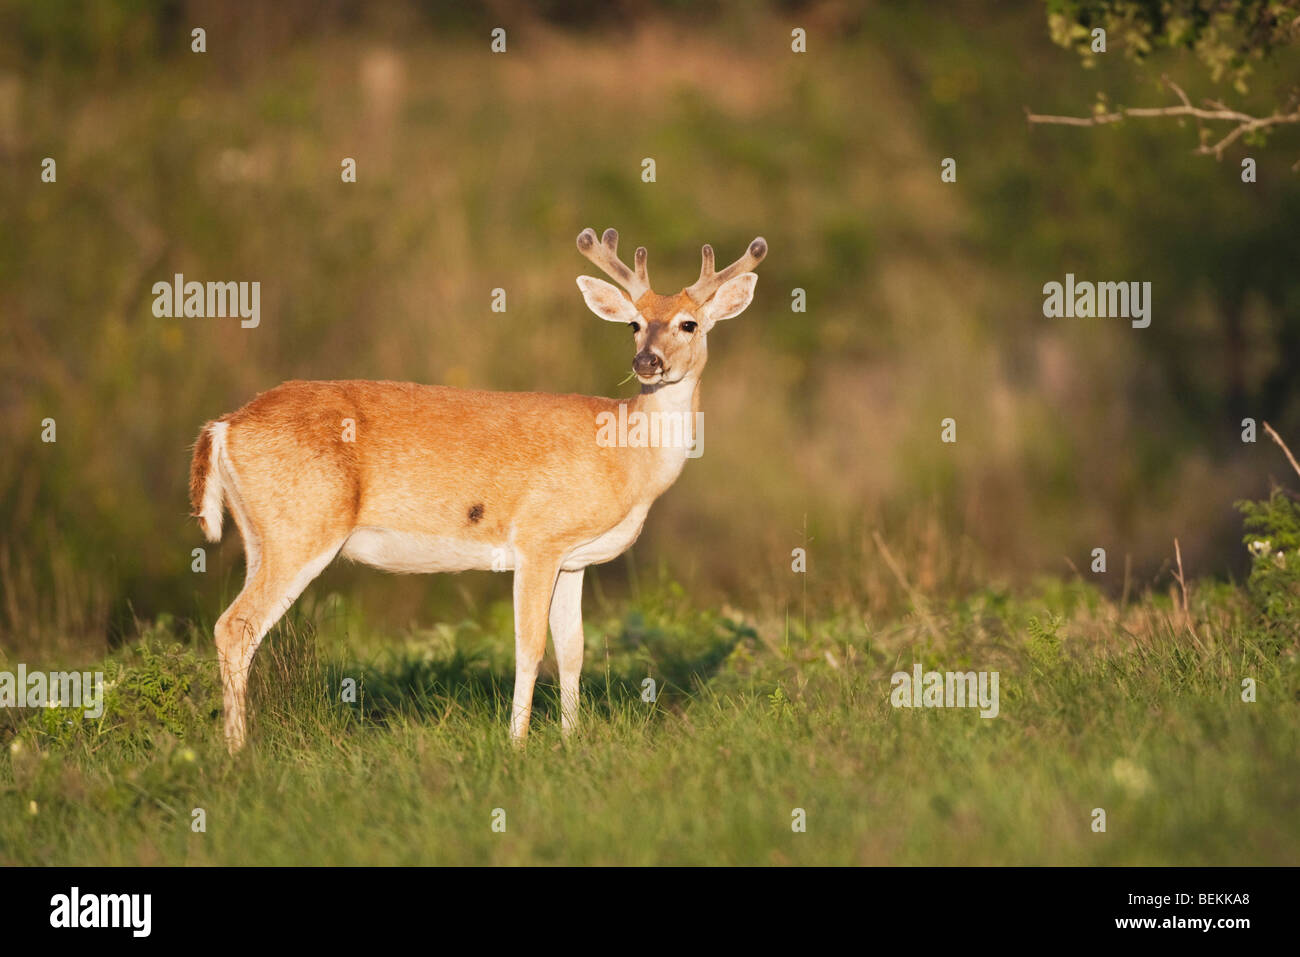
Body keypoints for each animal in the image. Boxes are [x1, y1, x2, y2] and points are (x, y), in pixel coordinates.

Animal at [188, 227, 764, 748]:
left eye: (689, 323)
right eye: (634, 324)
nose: (647, 362)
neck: (625, 455)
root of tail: (223, 427)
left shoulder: (573, 558)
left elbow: (572, 648)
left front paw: (571, 740)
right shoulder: (538, 537)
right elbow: (529, 646)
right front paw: (517, 744)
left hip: (261, 536)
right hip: (303, 527)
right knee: (234, 626)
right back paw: (238, 752)